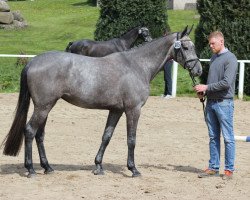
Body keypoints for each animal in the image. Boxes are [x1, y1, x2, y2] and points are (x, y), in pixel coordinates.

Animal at [1, 25, 203, 177]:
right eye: (186, 47)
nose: (199, 70)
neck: (137, 65)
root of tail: (32, 62)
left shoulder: (116, 110)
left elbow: (106, 136)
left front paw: (98, 166)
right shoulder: (133, 110)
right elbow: (131, 139)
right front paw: (133, 169)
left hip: (45, 107)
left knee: (39, 135)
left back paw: (48, 167)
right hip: (43, 106)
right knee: (30, 131)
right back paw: (31, 169)